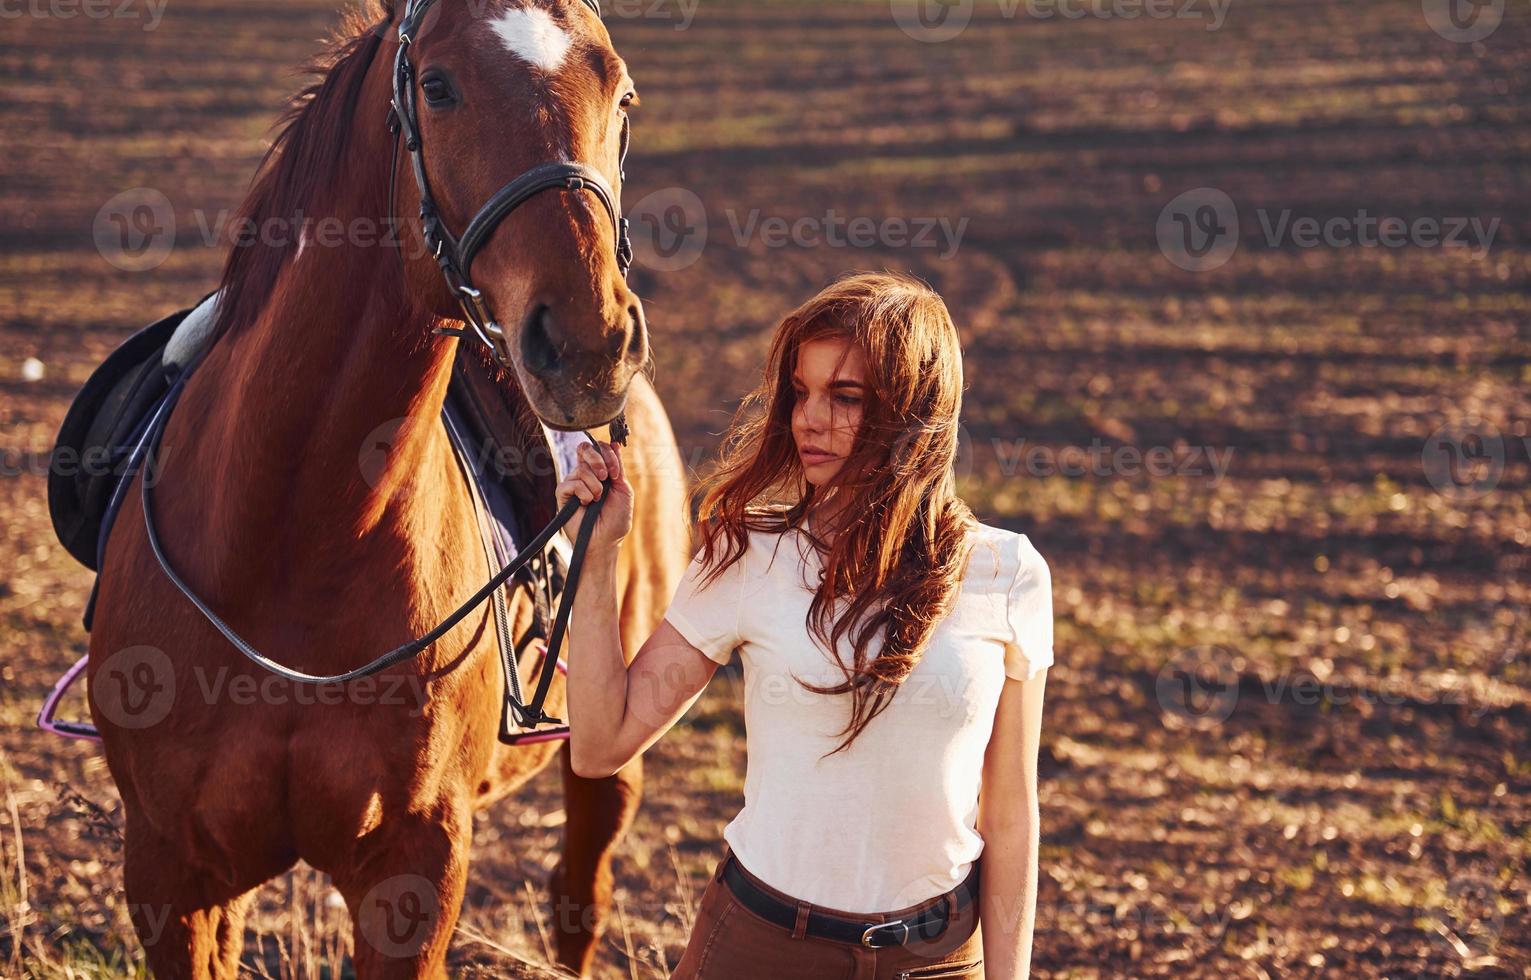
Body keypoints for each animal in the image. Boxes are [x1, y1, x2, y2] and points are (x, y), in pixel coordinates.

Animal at [79, 3, 688, 973]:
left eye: (622, 95)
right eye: (437, 87)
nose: (590, 345)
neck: (297, 539)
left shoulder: (414, 870)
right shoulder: (171, 873)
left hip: (608, 757)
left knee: (579, 896)